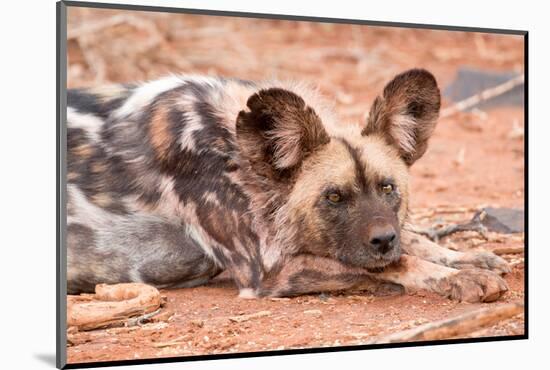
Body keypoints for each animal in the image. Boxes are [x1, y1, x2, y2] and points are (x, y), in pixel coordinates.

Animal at [68, 70, 512, 304]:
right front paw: (455, 277)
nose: (383, 239)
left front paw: (466, 258)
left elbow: (414, 241)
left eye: (388, 188)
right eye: (334, 197)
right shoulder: (268, 271)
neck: (235, 153)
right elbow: (395, 263)